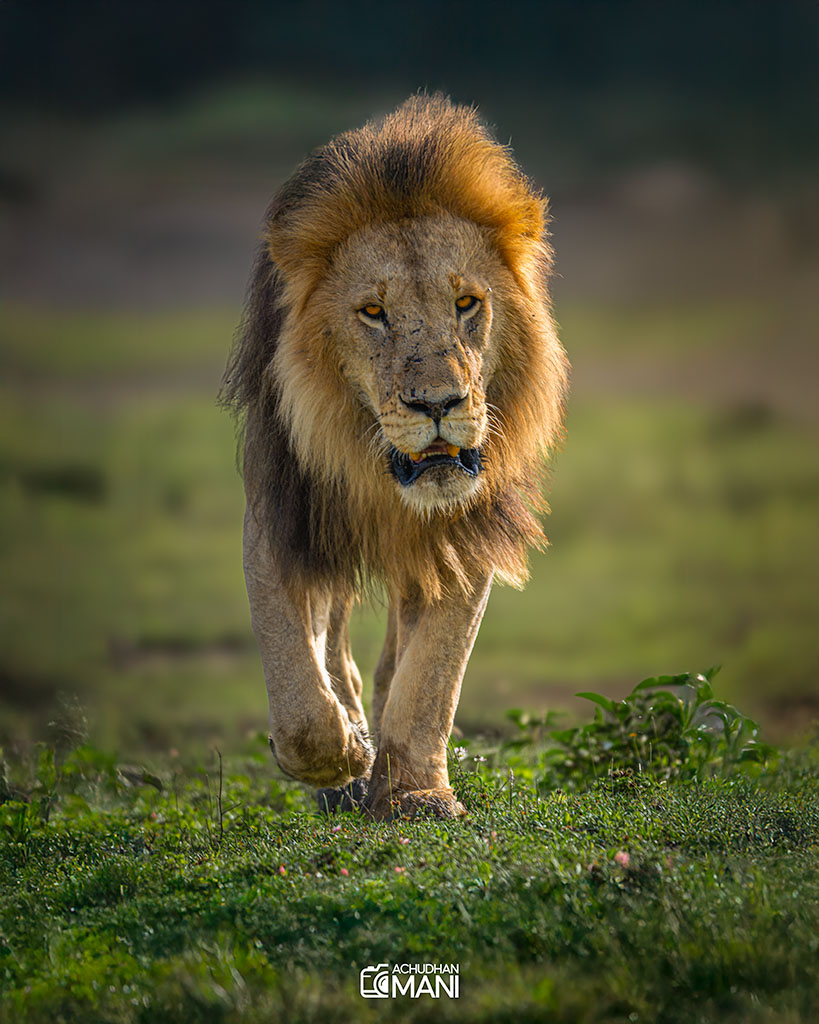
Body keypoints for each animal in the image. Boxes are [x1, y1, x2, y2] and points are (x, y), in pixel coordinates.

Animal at [220, 94, 568, 820]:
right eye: (373, 313)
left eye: (466, 303)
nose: (437, 403)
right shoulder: (282, 513)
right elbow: (294, 674)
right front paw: (340, 756)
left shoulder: (466, 532)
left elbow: (431, 673)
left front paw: (414, 789)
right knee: (332, 640)